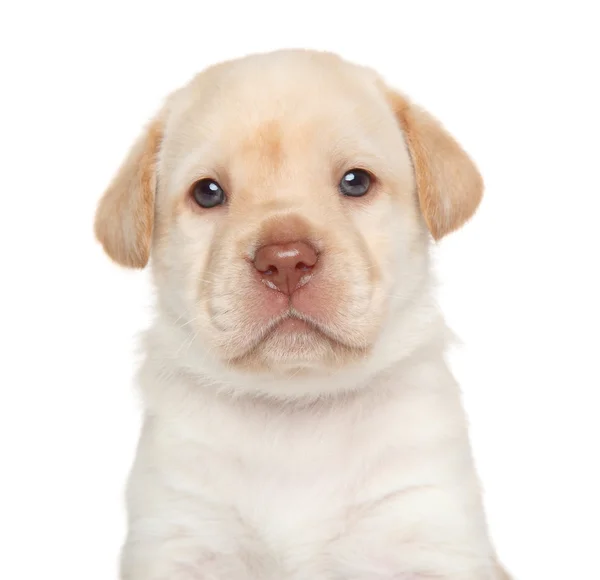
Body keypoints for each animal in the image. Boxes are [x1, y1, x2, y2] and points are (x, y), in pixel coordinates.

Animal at [96, 48, 508, 580]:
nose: (286, 261)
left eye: (355, 182)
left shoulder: (424, 525)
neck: (294, 410)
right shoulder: (179, 532)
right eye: (207, 193)